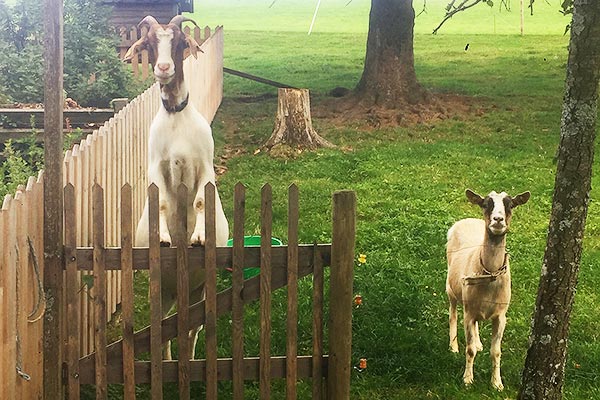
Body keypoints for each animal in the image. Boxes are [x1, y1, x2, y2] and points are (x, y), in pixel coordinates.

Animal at [124, 14, 230, 360]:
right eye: (149, 44)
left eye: (181, 42)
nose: (164, 68)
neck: (176, 115)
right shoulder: (156, 165)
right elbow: (161, 201)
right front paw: (164, 238)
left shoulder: (205, 165)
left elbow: (198, 201)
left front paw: (197, 237)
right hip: (162, 290)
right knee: (164, 329)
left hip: (201, 287)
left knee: (193, 327)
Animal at [446, 188, 528, 390]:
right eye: (486, 204)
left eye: (510, 205)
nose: (498, 220)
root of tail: (464, 220)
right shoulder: (468, 313)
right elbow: (469, 350)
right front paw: (467, 379)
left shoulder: (501, 316)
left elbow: (496, 351)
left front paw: (497, 383)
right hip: (451, 289)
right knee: (453, 315)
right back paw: (453, 346)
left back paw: (479, 343)